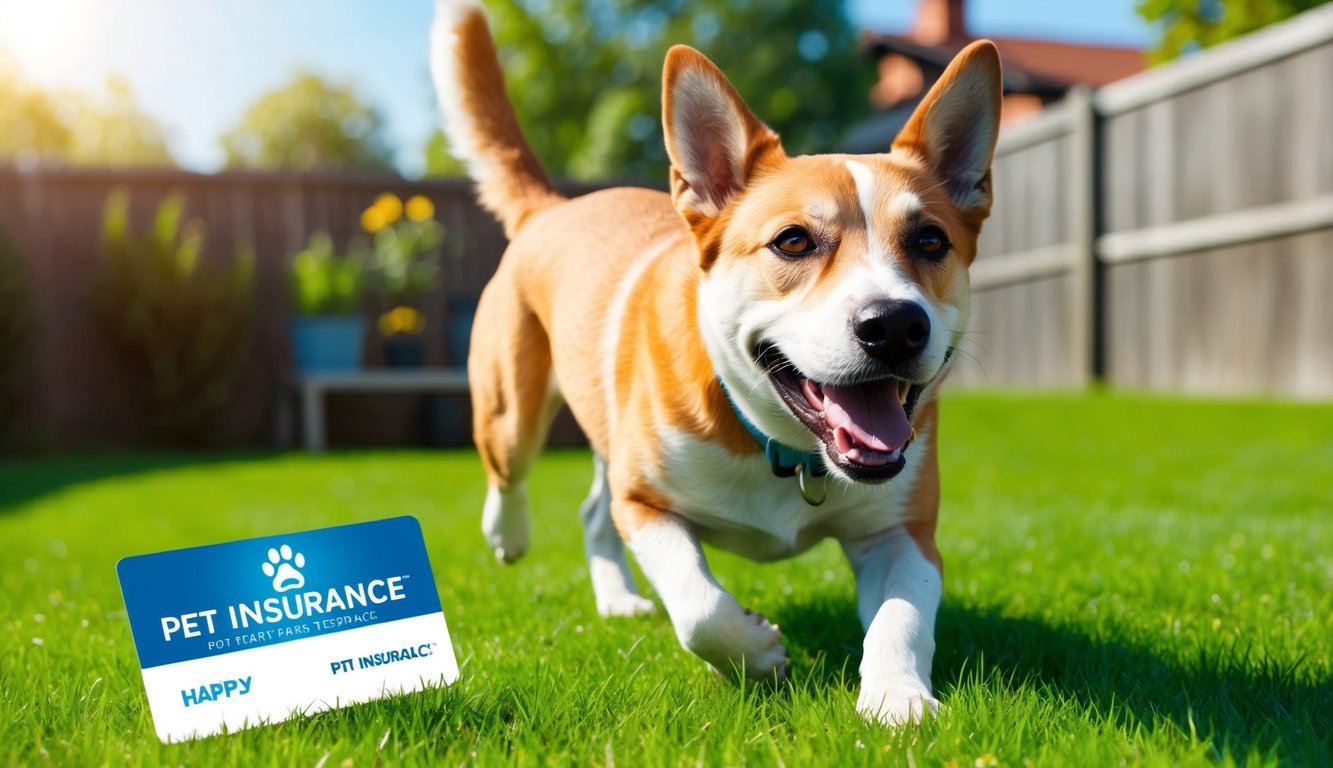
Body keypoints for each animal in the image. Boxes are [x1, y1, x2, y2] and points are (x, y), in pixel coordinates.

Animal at [434, 0, 1002, 725]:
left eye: (929, 240)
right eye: (792, 241)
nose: (895, 325)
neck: (783, 446)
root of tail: (551, 209)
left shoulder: (901, 529)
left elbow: (902, 612)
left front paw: (897, 697)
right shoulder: (646, 501)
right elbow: (700, 606)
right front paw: (757, 651)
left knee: (593, 511)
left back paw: (615, 598)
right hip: (514, 410)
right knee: (510, 469)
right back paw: (506, 534)